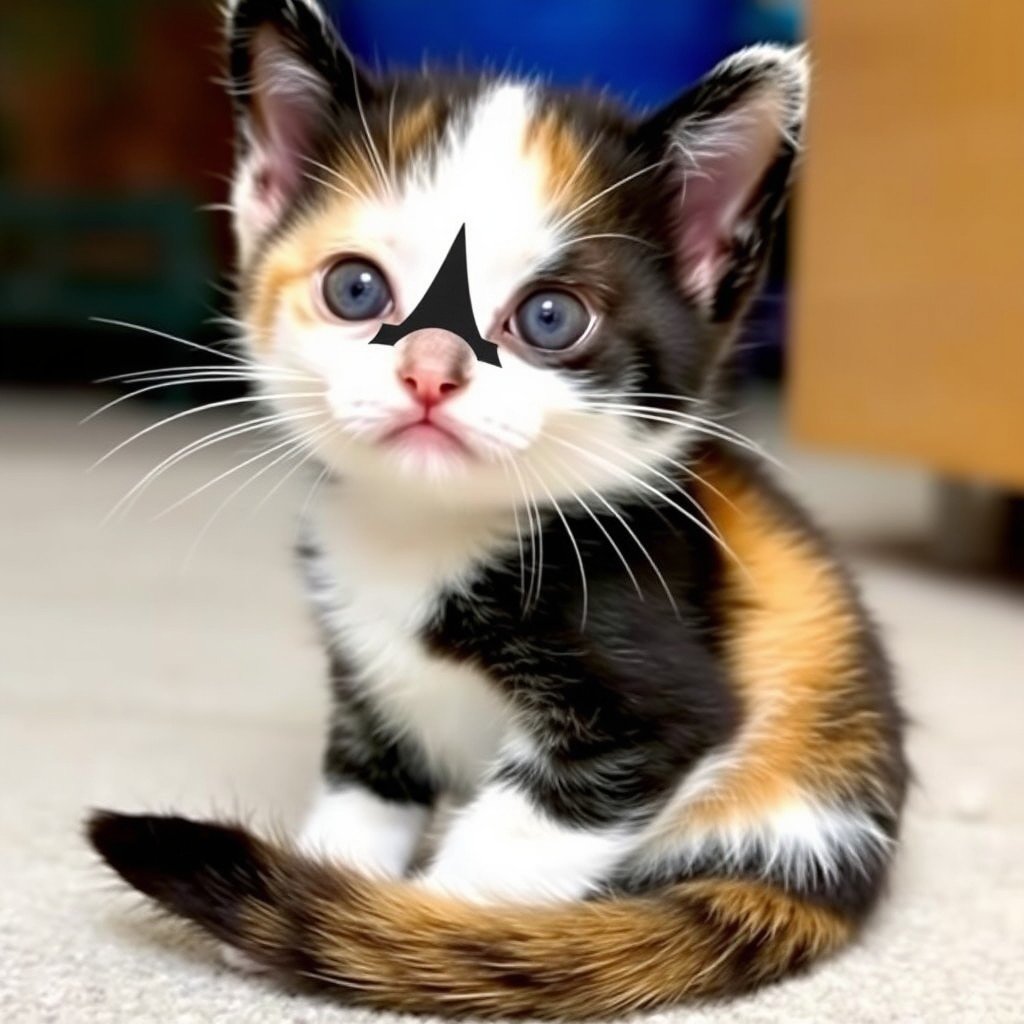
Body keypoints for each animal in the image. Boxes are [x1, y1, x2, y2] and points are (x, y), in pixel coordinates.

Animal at [86, 0, 905, 1015]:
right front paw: (332, 870)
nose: (430, 370)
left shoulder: (654, 700)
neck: (428, 533)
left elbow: (501, 863)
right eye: (354, 287)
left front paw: (410, 924)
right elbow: (366, 784)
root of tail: (836, 878)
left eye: (551, 317)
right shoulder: (365, 678)